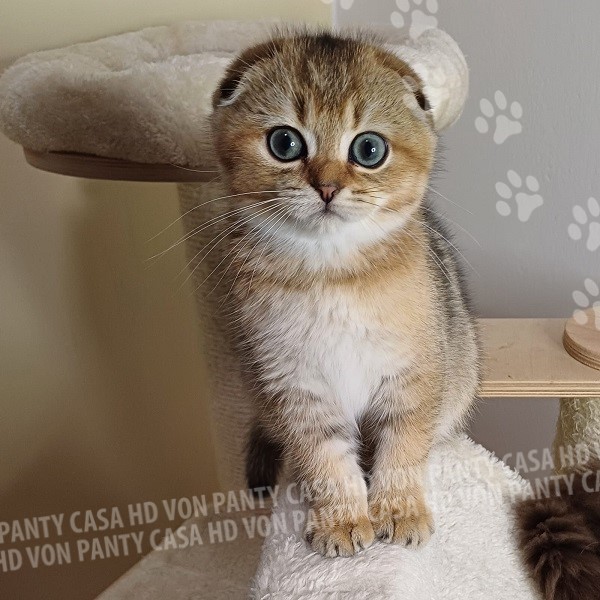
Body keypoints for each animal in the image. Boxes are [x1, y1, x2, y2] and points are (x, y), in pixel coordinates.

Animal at [210, 29, 480, 558]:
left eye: (369, 150)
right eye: (284, 142)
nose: (328, 187)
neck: (331, 274)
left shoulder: (412, 374)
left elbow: (401, 447)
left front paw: (398, 509)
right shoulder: (296, 385)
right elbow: (326, 460)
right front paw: (342, 519)